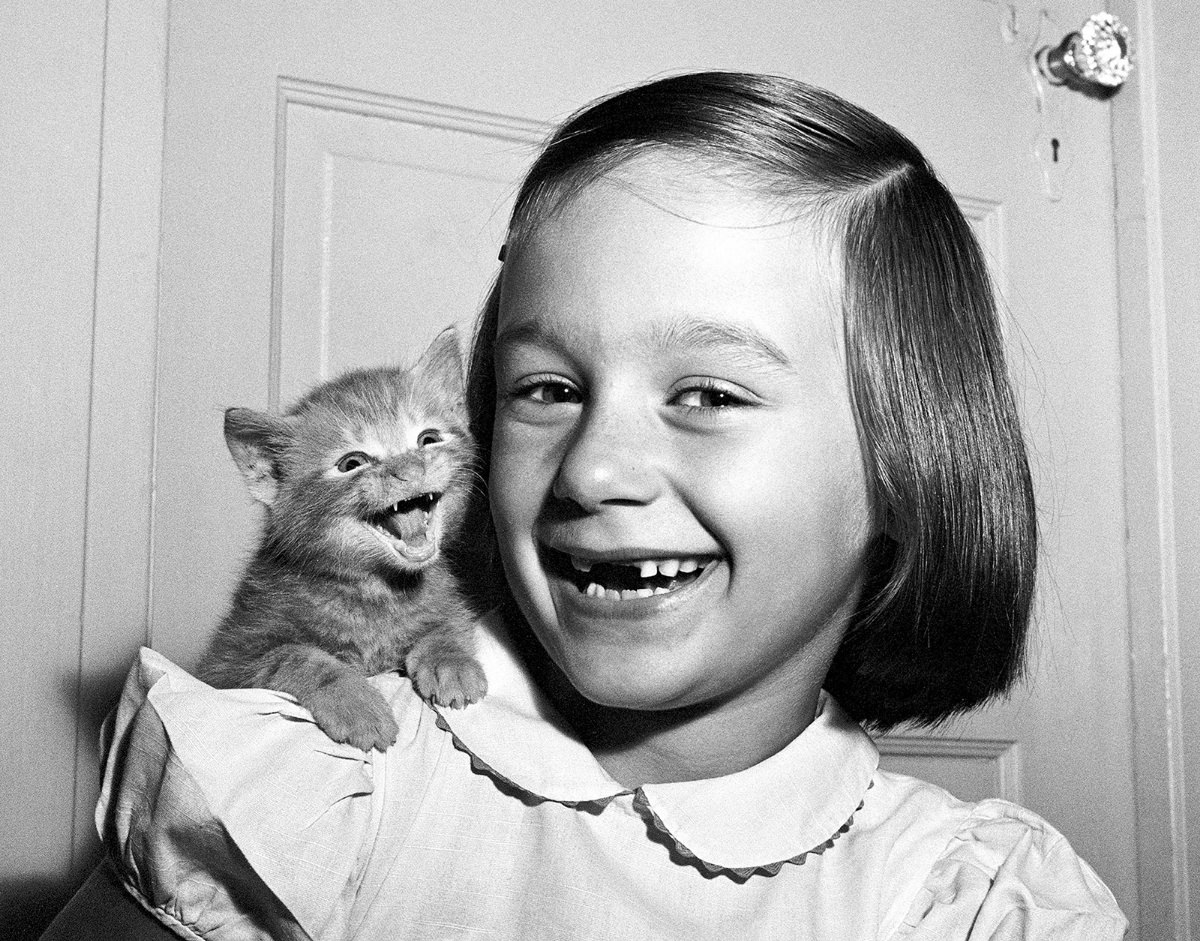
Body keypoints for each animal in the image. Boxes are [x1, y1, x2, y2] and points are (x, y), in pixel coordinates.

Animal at [194, 326, 484, 753]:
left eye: (428, 439)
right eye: (352, 463)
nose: (409, 469)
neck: (375, 593)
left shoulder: (446, 600)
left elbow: (446, 623)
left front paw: (450, 659)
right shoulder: (227, 662)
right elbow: (296, 655)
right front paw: (356, 703)